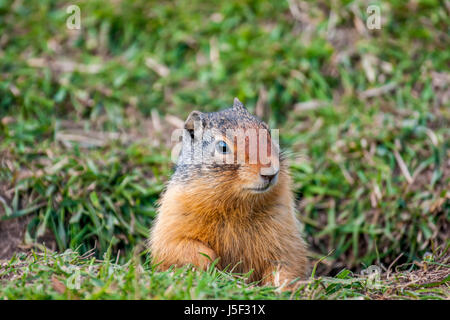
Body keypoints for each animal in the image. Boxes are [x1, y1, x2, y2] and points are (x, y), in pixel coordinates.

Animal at [149, 99, 308, 286]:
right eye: (223, 147)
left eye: (268, 131)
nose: (271, 172)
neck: (237, 205)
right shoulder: (172, 220)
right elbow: (176, 247)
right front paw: (212, 266)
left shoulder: (286, 236)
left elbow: (287, 263)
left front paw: (282, 286)